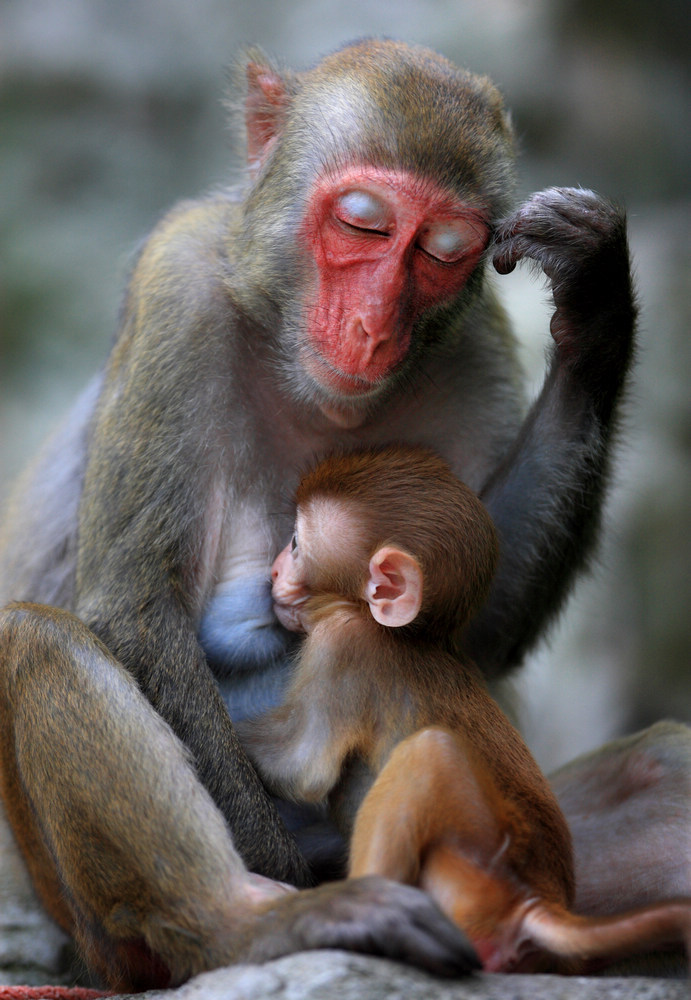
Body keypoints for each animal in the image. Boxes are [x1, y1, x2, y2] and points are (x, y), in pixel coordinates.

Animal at [0, 39, 636, 992]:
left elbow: (471, 630)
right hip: (91, 929)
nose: (373, 329)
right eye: (363, 225)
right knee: (39, 643)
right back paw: (257, 925)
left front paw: (595, 305)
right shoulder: (179, 286)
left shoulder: (473, 342)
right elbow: (140, 612)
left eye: (442, 251)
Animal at [237, 448, 688, 976]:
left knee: (430, 753)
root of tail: (536, 902)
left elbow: (301, 767)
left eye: (294, 543)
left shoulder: (344, 646)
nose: (273, 572)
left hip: (479, 860)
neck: (409, 635)